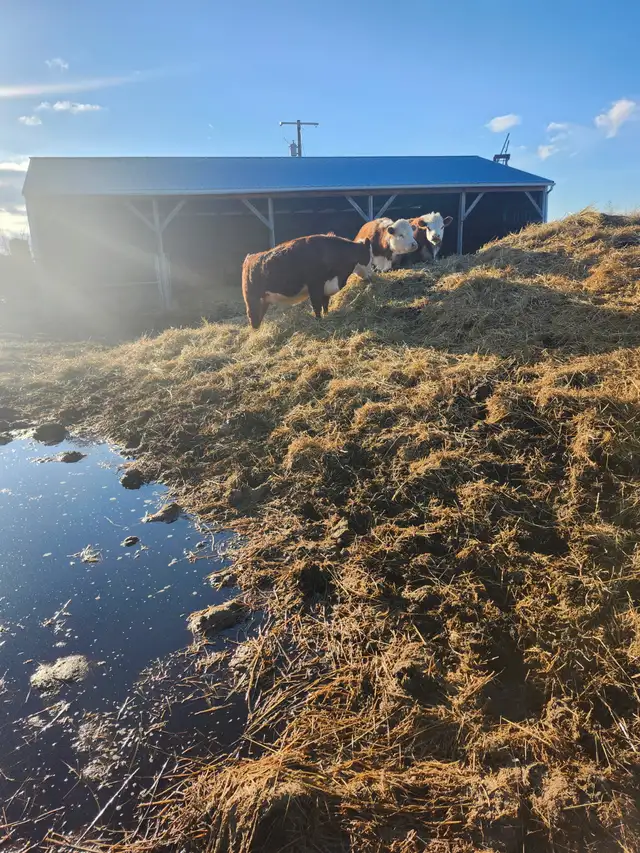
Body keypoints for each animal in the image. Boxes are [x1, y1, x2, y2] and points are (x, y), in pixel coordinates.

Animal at [242, 233, 373, 330]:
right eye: (370, 258)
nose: (371, 277)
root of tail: (250, 257)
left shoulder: (326, 287)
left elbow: (325, 305)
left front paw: (327, 316)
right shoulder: (315, 286)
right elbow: (317, 306)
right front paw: (319, 321)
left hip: (264, 300)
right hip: (252, 299)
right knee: (252, 315)